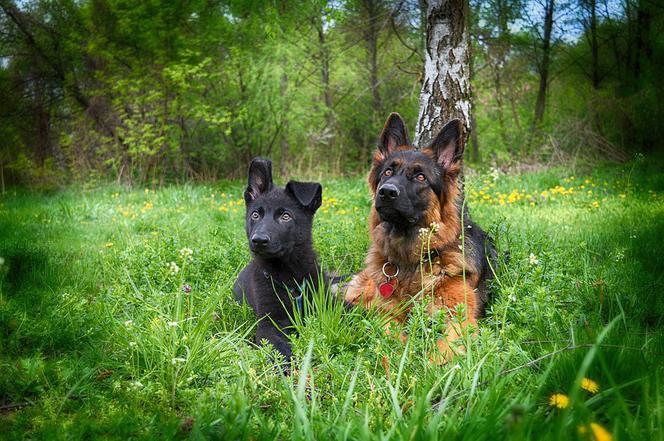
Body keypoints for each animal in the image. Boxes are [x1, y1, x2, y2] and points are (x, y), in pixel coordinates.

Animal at [233, 156, 324, 362]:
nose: (258, 240)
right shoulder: (269, 323)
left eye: (285, 216)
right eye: (255, 215)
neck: (289, 274)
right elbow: (277, 348)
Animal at [344, 112, 496, 358]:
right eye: (388, 172)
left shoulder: (459, 319)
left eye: (421, 177)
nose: (386, 192)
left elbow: (443, 350)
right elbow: (389, 340)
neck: (412, 260)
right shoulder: (387, 314)